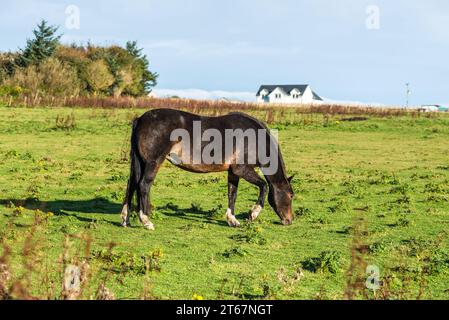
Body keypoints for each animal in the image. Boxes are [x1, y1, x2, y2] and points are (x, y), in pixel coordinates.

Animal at [120, 109, 294, 230]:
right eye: (291, 195)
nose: (290, 220)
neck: (253, 138)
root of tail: (140, 119)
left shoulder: (233, 172)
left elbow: (232, 194)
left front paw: (232, 220)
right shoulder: (242, 169)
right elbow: (264, 186)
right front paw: (253, 213)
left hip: (140, 163)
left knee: (132, 185)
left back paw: (125, 219)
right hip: (153, 163)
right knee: (143, 185)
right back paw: (146, 221)